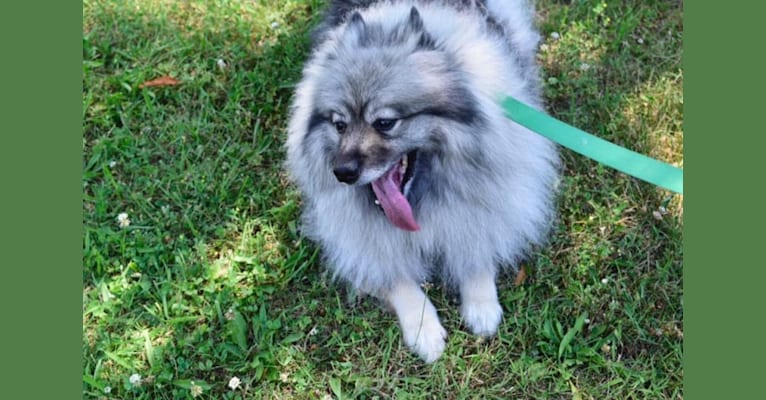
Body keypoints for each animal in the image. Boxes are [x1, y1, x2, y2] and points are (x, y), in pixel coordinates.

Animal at [284, 0, 560, 362]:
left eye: (385, 122)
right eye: (339, 125)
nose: (343, 173)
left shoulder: (488, 196)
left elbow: (476, 243)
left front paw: (481, 303)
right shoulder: (359, 239)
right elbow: (398, 279)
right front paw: (423, 328)